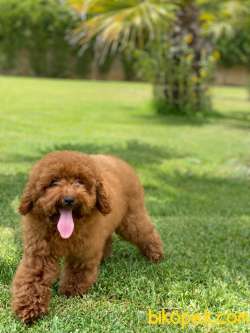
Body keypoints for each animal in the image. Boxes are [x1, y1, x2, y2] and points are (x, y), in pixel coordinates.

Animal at [11, 150, 164, 322]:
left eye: (80, 181)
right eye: (53, 182)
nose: (69, 199)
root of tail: (119, 161)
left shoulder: (84, 249)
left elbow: (78, 271)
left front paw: (71, 291)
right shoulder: (39, 252)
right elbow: (32, 278)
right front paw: (28, 308)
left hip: (131, 218)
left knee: (146, 232)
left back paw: (156, 255)